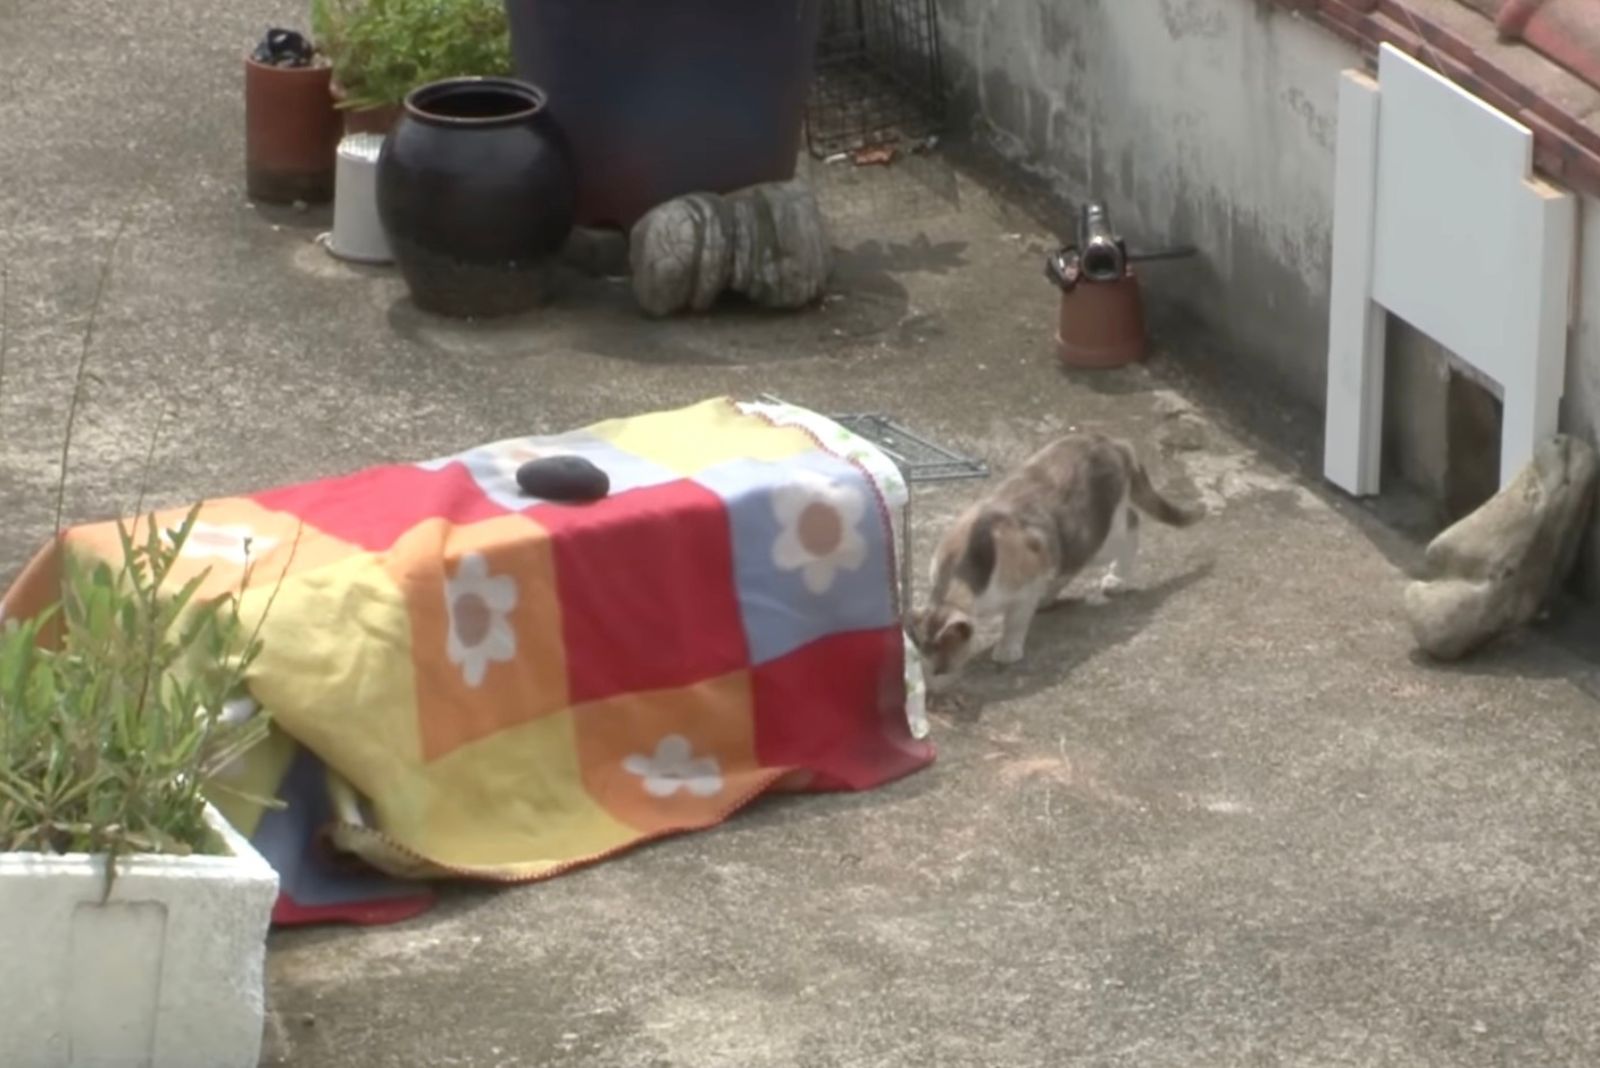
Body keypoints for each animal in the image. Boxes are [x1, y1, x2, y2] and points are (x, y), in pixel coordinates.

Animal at [915, 431, 1203, 687]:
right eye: (919, 667)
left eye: (940, 669)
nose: (930, 691)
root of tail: (1113, 441)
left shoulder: (1028, 583)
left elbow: (1015, 621)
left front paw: (1008, 650)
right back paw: (1050, 595)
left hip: (1097, 540)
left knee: (1131, 525)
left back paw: (1116, 579)